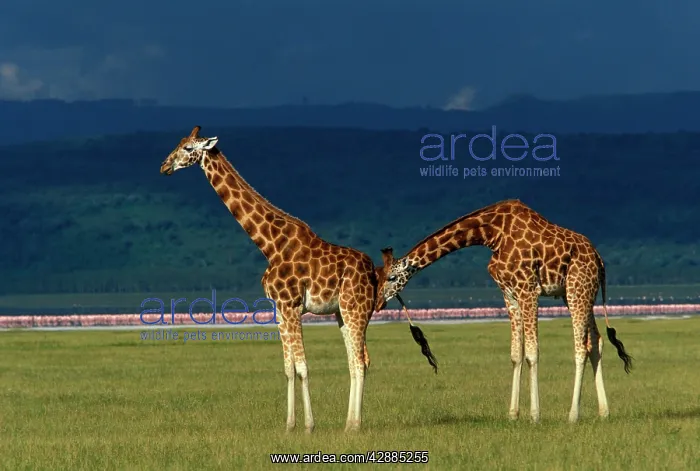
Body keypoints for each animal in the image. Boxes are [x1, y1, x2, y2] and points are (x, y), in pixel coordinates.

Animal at [159, 126, 385, 432]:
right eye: (179, 143)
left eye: (188, 148)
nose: (164, 166)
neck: (270, 245)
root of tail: (373, 273)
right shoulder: (278, 307)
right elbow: (289, 368)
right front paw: (289, 425)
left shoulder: (291, 305)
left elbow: (302, 367)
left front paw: (309, 426)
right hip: (342, 311)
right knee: (355, 360)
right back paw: (348, 424)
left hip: (355, 308)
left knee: (360, 362)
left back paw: (355, 426)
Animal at [377, 199, 633, 423]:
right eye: (378, 278)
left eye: (392, 277)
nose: (378, 303)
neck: (491, 234)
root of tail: (599, 260)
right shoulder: (508, 293)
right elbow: (515, 354)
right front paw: (513, 415)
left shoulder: (527, 288)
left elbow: (532, 352)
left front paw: (535, 416)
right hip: (577, 294)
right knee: (596, 342)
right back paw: (604, 412)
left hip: (577, 289)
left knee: (581, 346)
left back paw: (573, 415)